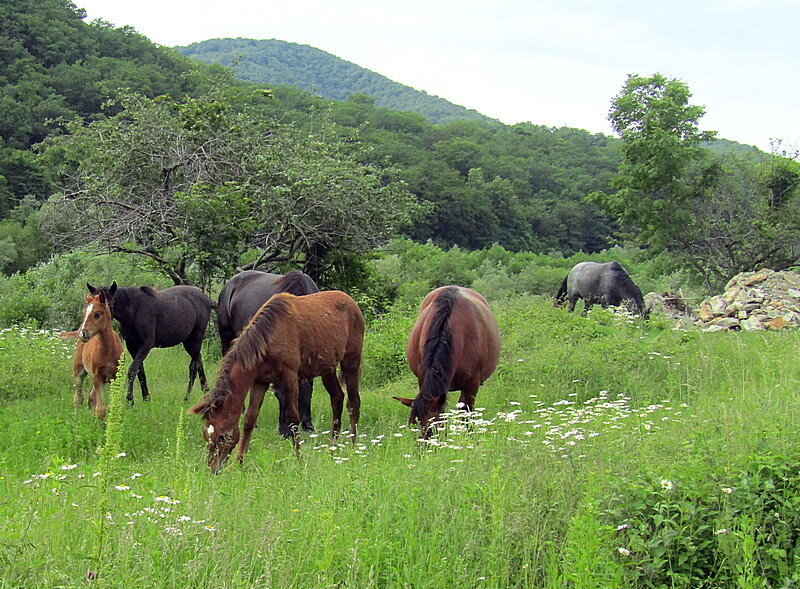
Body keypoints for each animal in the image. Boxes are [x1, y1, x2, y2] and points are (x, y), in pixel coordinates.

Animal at [59, 288, 123, 418]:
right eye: (84, 313)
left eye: (97, 314)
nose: (82, 333)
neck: (109, 350)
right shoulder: (97, 376)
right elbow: (101, 410)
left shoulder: (115, 376)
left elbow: (112, 405)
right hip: (79, 371)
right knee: (79, 397)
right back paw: (77, 417)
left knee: (91, 395)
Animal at [189, 290, 364, 474]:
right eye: (206, 435)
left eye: (223, 435)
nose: (213, 468)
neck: (267, 340)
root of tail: (352, 304)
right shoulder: (260, 381)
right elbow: (249, 420)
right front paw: (239, 462)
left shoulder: (290, 376)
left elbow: (293, 419)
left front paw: (299, 460)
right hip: (327, 368)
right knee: (337, 398)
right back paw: (332, 449)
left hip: (351, 360)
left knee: (353, 402)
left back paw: (353, 446)